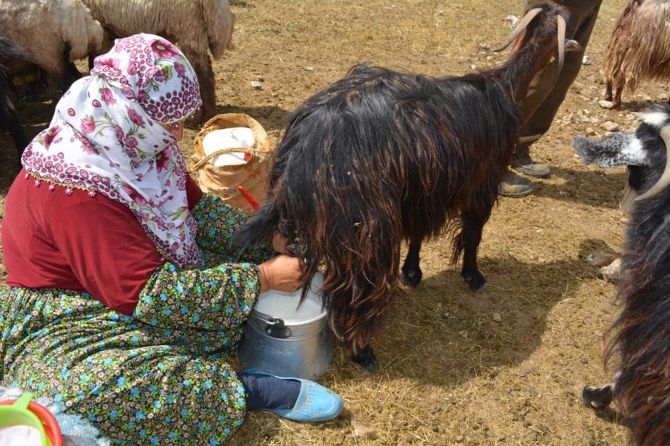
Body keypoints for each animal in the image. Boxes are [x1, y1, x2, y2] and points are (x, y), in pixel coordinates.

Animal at [238, 1, 584, 372]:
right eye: (563, 24)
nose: (576, 47)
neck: (502, 88)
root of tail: (305, 147)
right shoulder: (482, 181)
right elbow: (473, 231)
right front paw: (473, 276)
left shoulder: (423, 190)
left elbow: (418, 231)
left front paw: (412, 272)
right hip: (364, 225)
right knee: (355, 284)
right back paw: (362, 350)